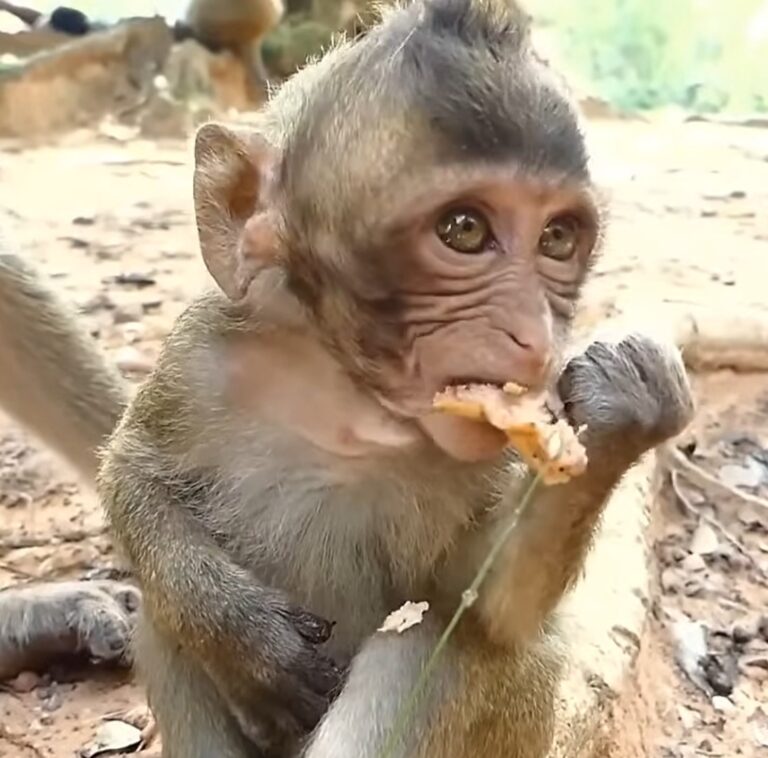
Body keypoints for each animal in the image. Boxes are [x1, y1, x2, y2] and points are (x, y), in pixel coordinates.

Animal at [98, 0, 695, 755]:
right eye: (464, 229)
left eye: (557, 238)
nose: (535, 338)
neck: (352, 398)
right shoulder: (201, 354)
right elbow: (131, 470)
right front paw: (243, 636)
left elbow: (487, 609)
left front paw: (623, 407)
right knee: (158, 624)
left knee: (431, 640)